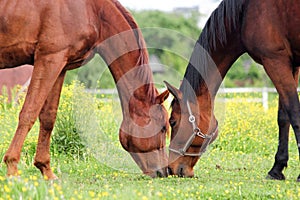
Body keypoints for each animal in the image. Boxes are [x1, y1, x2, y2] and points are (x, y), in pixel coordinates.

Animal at [0, 0, 171, 178]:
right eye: (163, 128)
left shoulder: (60, 66)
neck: (91, 10)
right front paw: (12, 167)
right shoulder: (49, 59)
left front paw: (46, 170)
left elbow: (48, 117)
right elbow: (29, 112)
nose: (164, 171)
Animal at [165, 0, 300, 181]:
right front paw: (277, 168)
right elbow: (283, 116)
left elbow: (294, 112)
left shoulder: (274, 60)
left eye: (172, 121)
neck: (245, 11)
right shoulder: (291, 64)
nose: (171, 169)